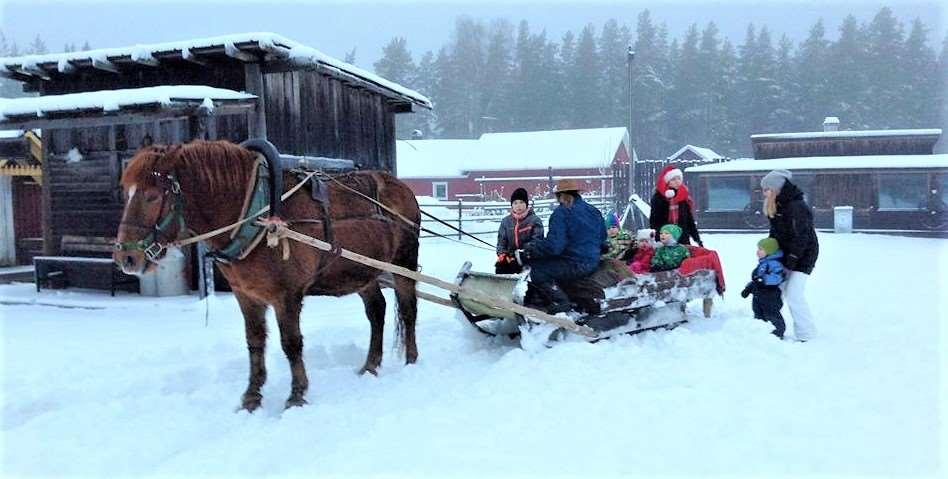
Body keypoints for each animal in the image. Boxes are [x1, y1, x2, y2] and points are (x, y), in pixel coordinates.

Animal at [113, 140, 420, 412]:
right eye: (125, 192)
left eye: (152, 195)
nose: (126, 258)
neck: (256, 215)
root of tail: (400, 186)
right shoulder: (246, 295)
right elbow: (255, 342)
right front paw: (251, 396)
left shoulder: (287, 295)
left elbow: (291, 343)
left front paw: (296, 395)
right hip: (362, 272)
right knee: (376, 311)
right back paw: (370, 365)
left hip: (403, 262)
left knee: (408, 310)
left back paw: (411, 361)